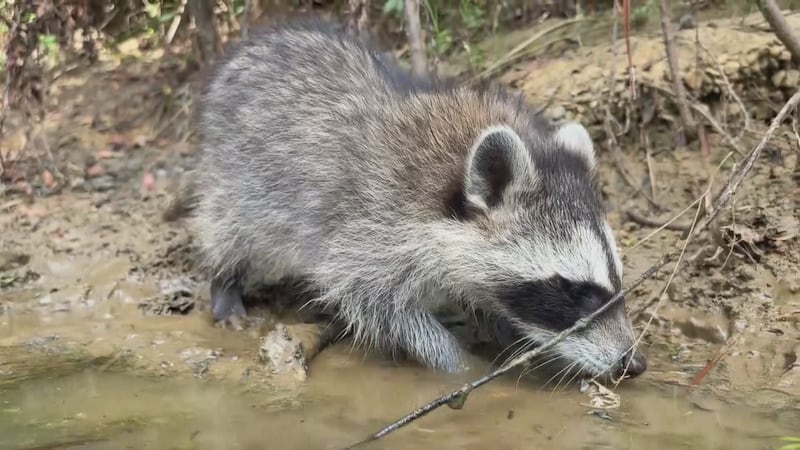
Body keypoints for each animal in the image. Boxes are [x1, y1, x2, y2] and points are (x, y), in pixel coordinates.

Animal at [172, 20, 647, 380]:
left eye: (615, 281)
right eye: (576, 291)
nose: (634, 363)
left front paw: (508, 330)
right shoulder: (372, 224)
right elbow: (375, 301)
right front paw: (456, 360)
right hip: (238, 175)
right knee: (228, 227)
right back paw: (225, 283)